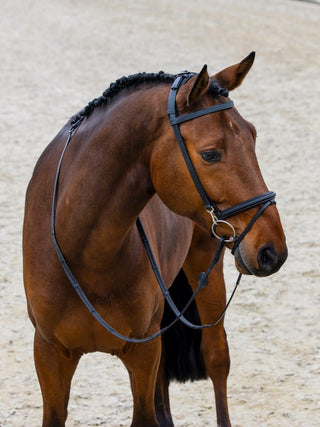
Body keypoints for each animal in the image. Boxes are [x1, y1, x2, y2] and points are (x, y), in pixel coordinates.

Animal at [22, 53, 288, 427]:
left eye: (253, 136)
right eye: (210, 154)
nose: (272, 250)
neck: (86, 251)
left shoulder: (142, 352)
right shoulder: (49, 354)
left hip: (205, 268)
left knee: (216, 357)